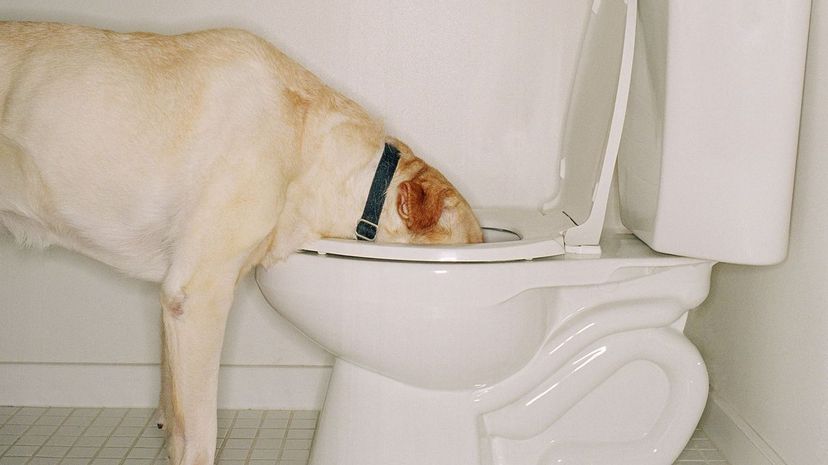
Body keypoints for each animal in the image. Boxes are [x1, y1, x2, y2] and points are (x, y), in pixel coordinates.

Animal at [0, 21, 482, 464]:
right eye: (475, 247)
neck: (306, 146)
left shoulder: (173, 298)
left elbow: (174, 405)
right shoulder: (199, 294)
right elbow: (200, 434)